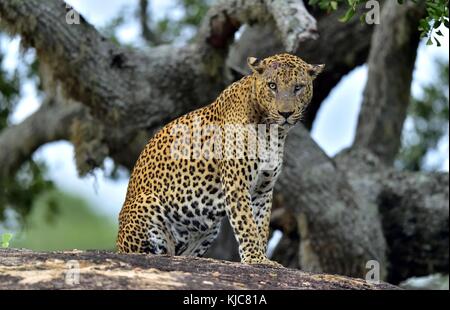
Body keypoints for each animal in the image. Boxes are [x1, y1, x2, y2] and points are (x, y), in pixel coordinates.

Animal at [117, 53, 324, 266]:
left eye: (298, 87)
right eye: (272, 85)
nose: (286, 113)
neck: (272, 132)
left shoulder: (263, 190)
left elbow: (261, 225)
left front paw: (261, 257)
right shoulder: (236, 183)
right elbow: (247, 224)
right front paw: (256, 259)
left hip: (207, 230)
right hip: (148, 205)